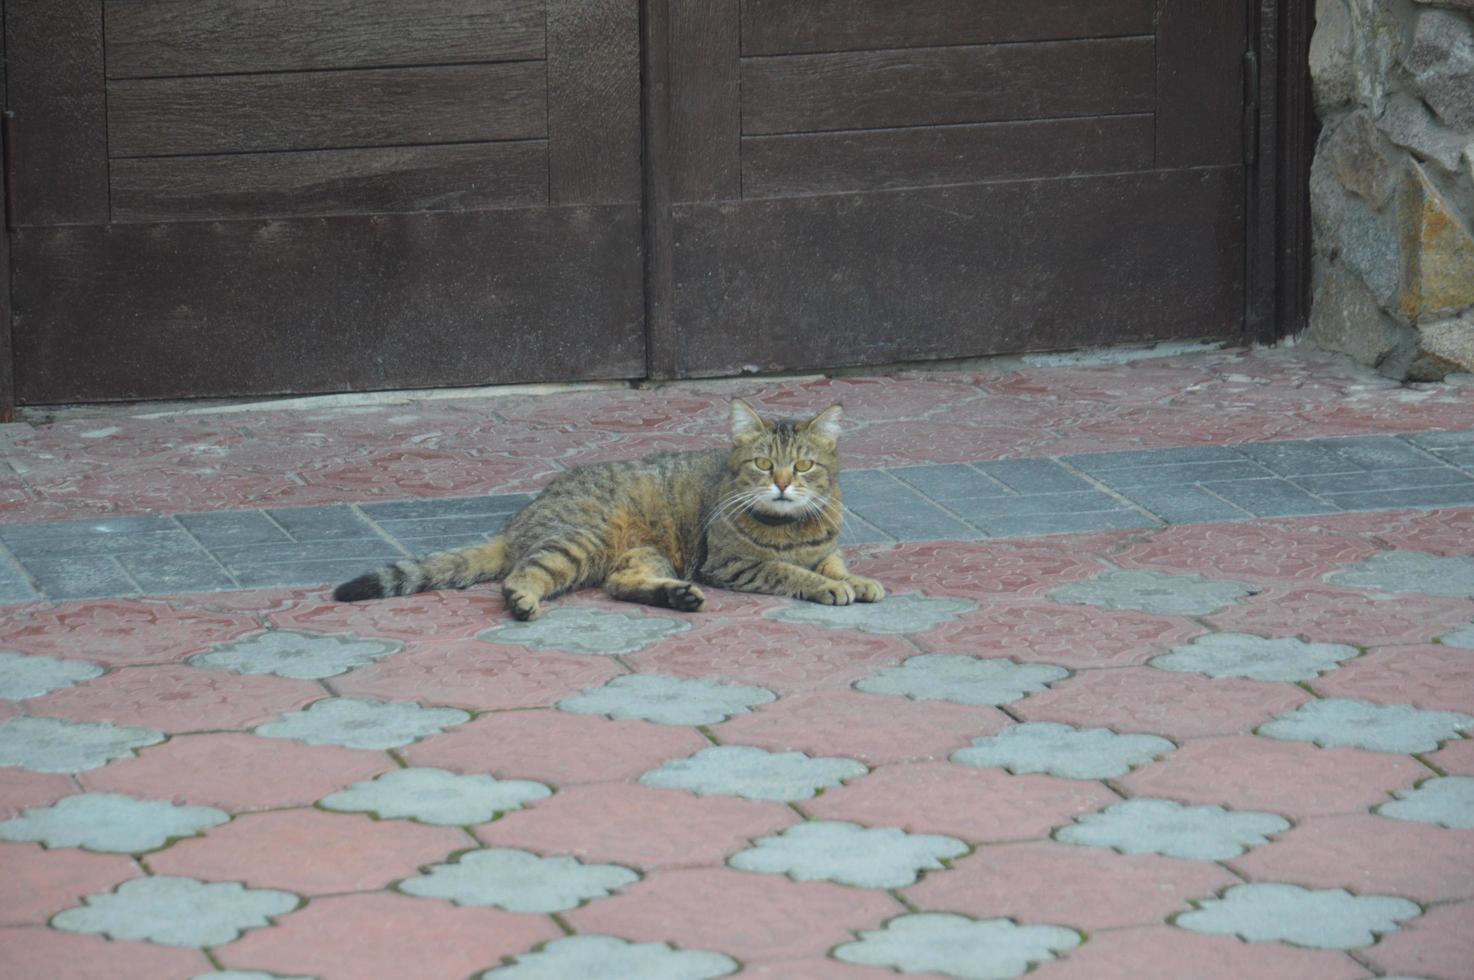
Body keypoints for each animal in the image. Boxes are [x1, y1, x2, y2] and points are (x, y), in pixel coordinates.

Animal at [334, 400, 884, 618]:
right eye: (764, 463)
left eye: (806, 465)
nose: (784, 484)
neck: (795, 528)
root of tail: (518, 521)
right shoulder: (733, 564)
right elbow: (793, 572)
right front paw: (829, 586)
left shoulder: (825, 548)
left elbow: (835, 564)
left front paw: (857, 580)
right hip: (581, 541)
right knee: (521, 577)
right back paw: (522, 601)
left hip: (646, 554)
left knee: (620, 585)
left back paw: (676, 596)